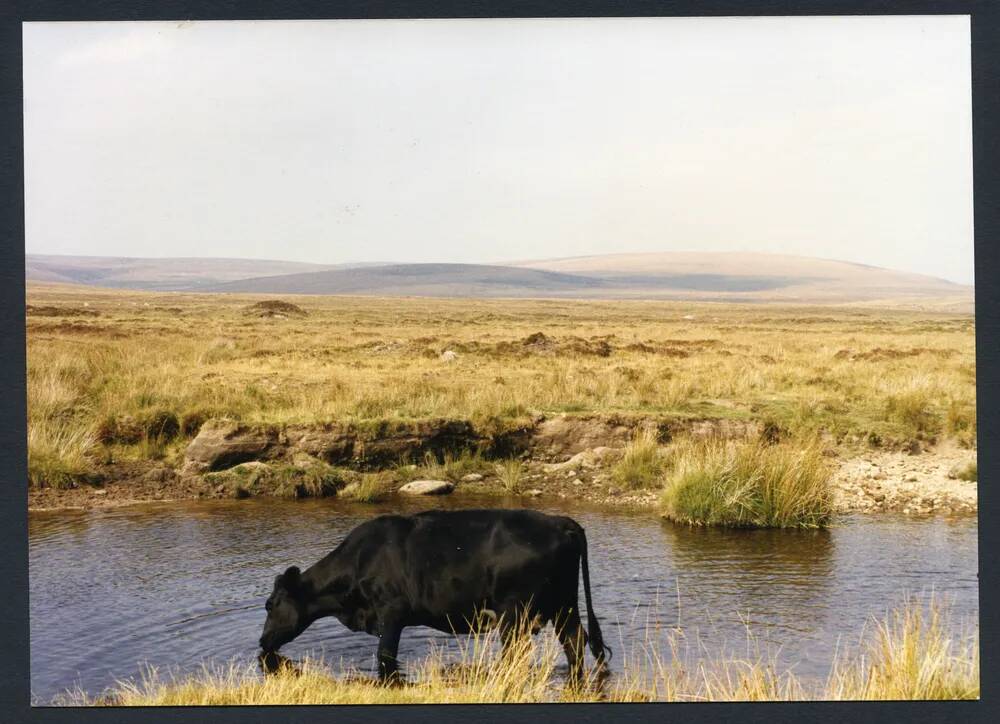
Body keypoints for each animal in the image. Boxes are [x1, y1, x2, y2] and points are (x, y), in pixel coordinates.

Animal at [256, 510, 608, 680]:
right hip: (564, 604)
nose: (262, 641)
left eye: (270, 604)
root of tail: (559, 521)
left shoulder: (391, 613)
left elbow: (385, 656)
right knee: (574, 641)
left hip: (515, 612)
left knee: (517, 653)